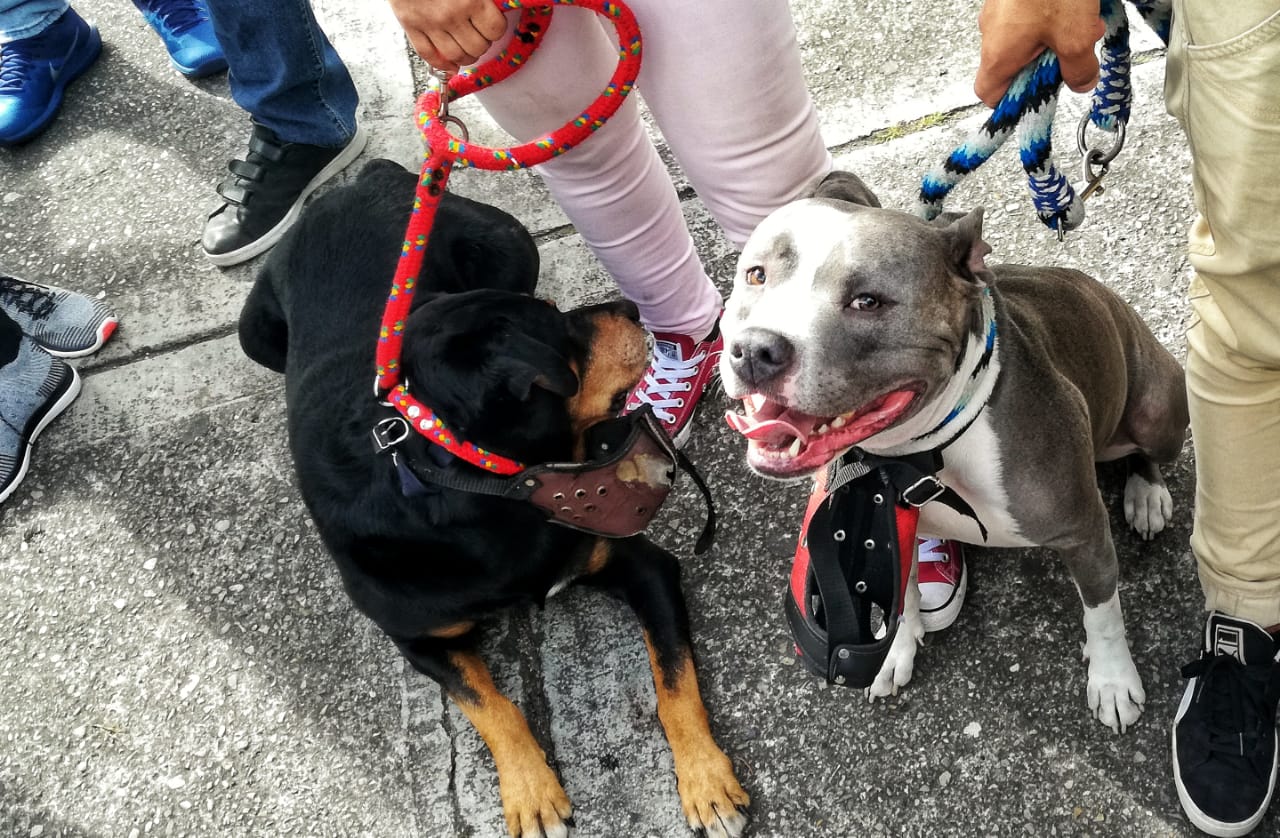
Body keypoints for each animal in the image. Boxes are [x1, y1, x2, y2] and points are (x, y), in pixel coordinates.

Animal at [721, 172, 1187, 736]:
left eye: (868, 301)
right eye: (756, 275)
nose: (754, 350)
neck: (919, 452)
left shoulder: (1084, 531)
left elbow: (1103, 614)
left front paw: (1114, 681)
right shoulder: (894, 530)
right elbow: (902, 598)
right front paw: (895, 651)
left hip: (1157, 410)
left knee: (1147, 449)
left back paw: (1146, 494)